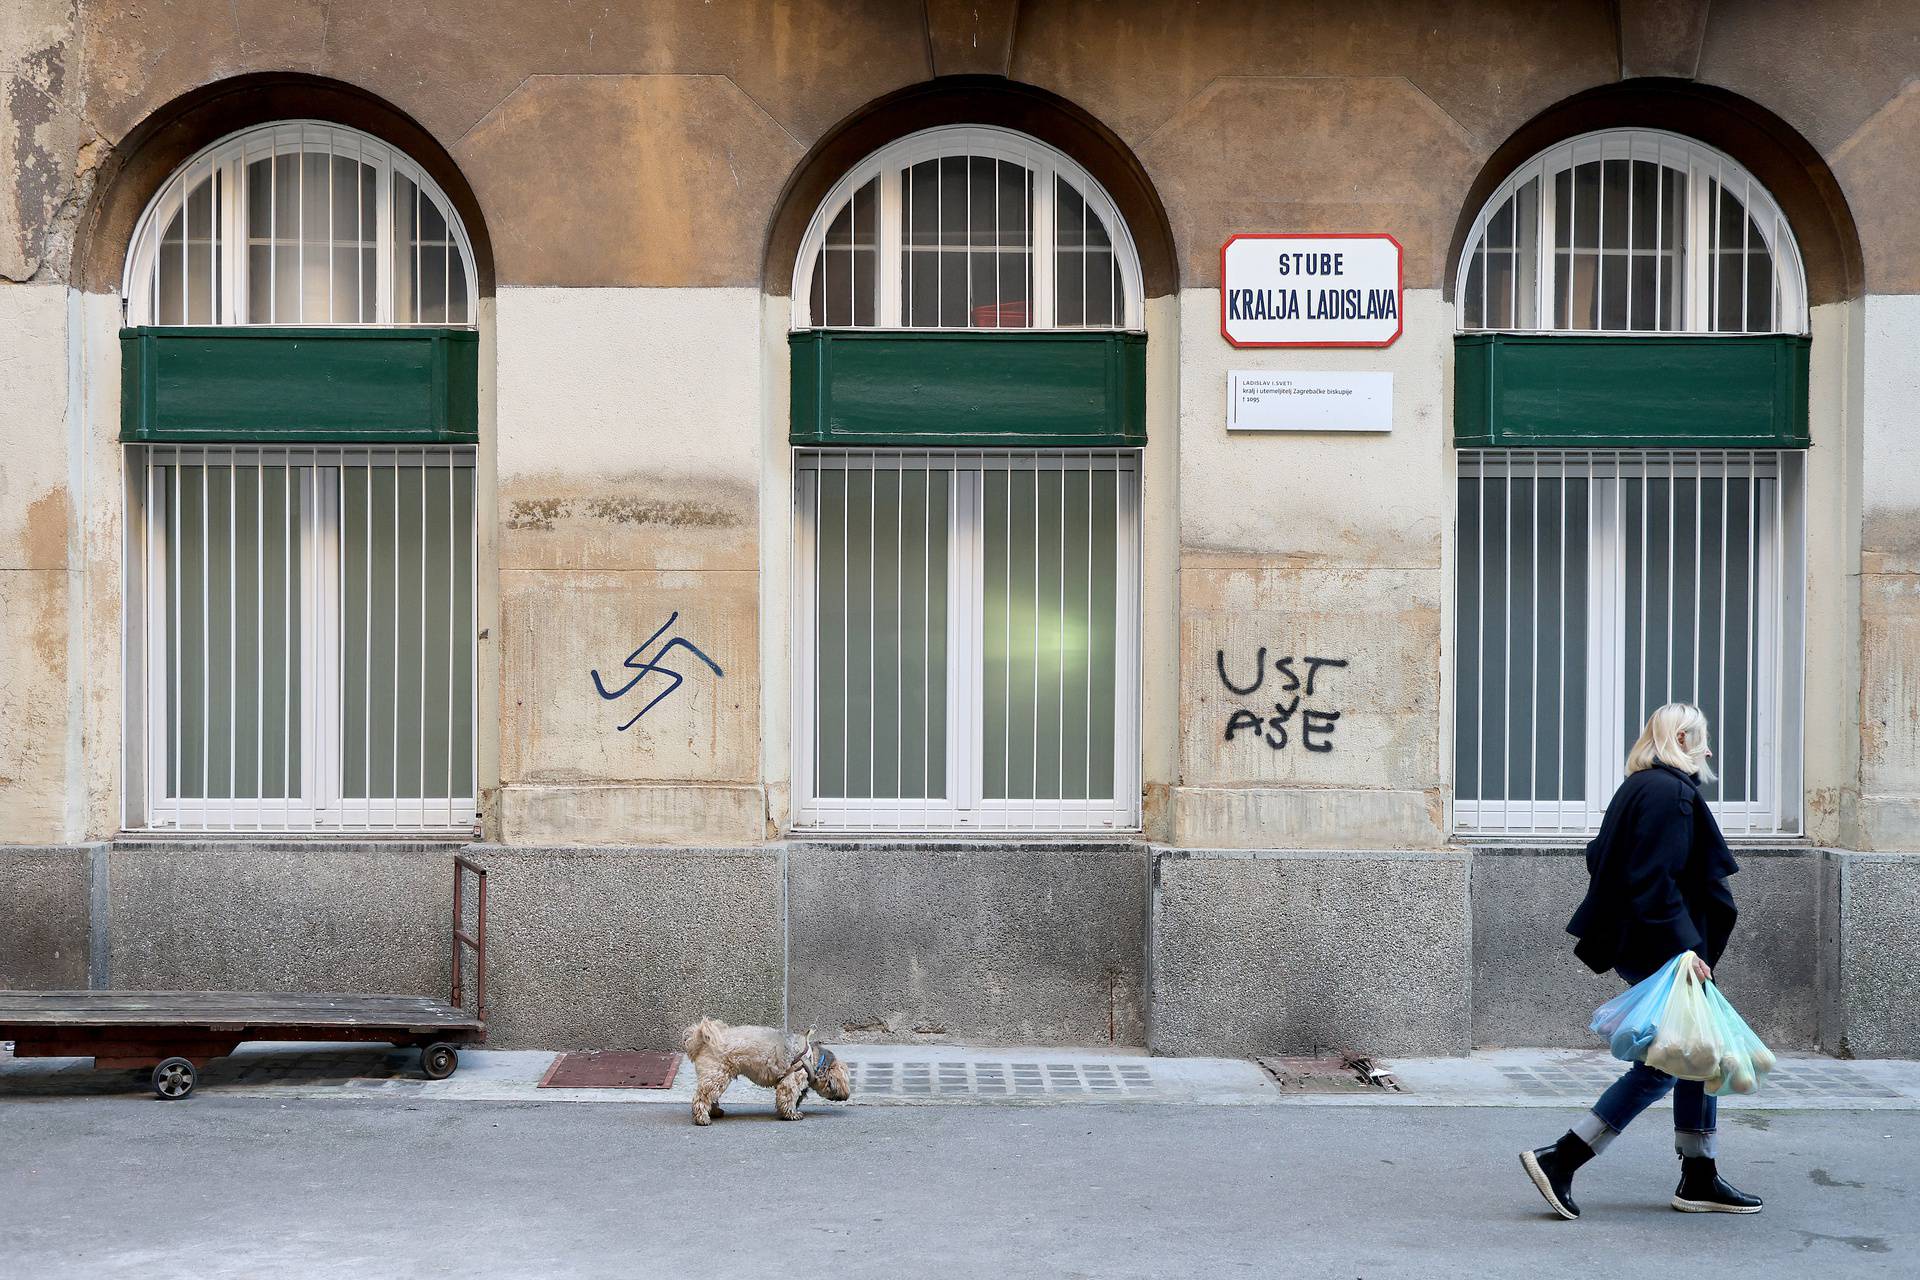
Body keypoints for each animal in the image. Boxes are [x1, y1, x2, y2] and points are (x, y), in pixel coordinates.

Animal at [679, 1020, 852, 1120]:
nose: (846, 1096)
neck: (814, 1059)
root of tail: (703, 1041)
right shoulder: (792, 1080)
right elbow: (789, 1098)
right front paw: (791, 1114)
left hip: (715, 1078)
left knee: (710, 1097)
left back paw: (714, 1112)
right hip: (717, 1076)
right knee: (701, 1098)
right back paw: (702, 1118)